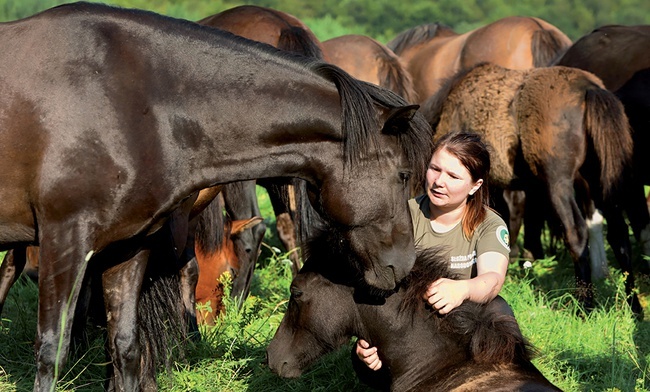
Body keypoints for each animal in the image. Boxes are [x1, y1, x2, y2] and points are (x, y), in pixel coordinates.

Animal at [1, 3, 436, 388]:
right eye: (403, 175)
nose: (405, 264)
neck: (134, 101)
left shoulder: (128, 246)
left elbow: (125, 345)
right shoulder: (65, 240)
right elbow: (51, 350)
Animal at [418, 63, 636, 316]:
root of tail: (588, 88)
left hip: (558, 183)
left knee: (577, 233)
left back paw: (585, 306)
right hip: (598, 180)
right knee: (619, 234)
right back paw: (634, 307)